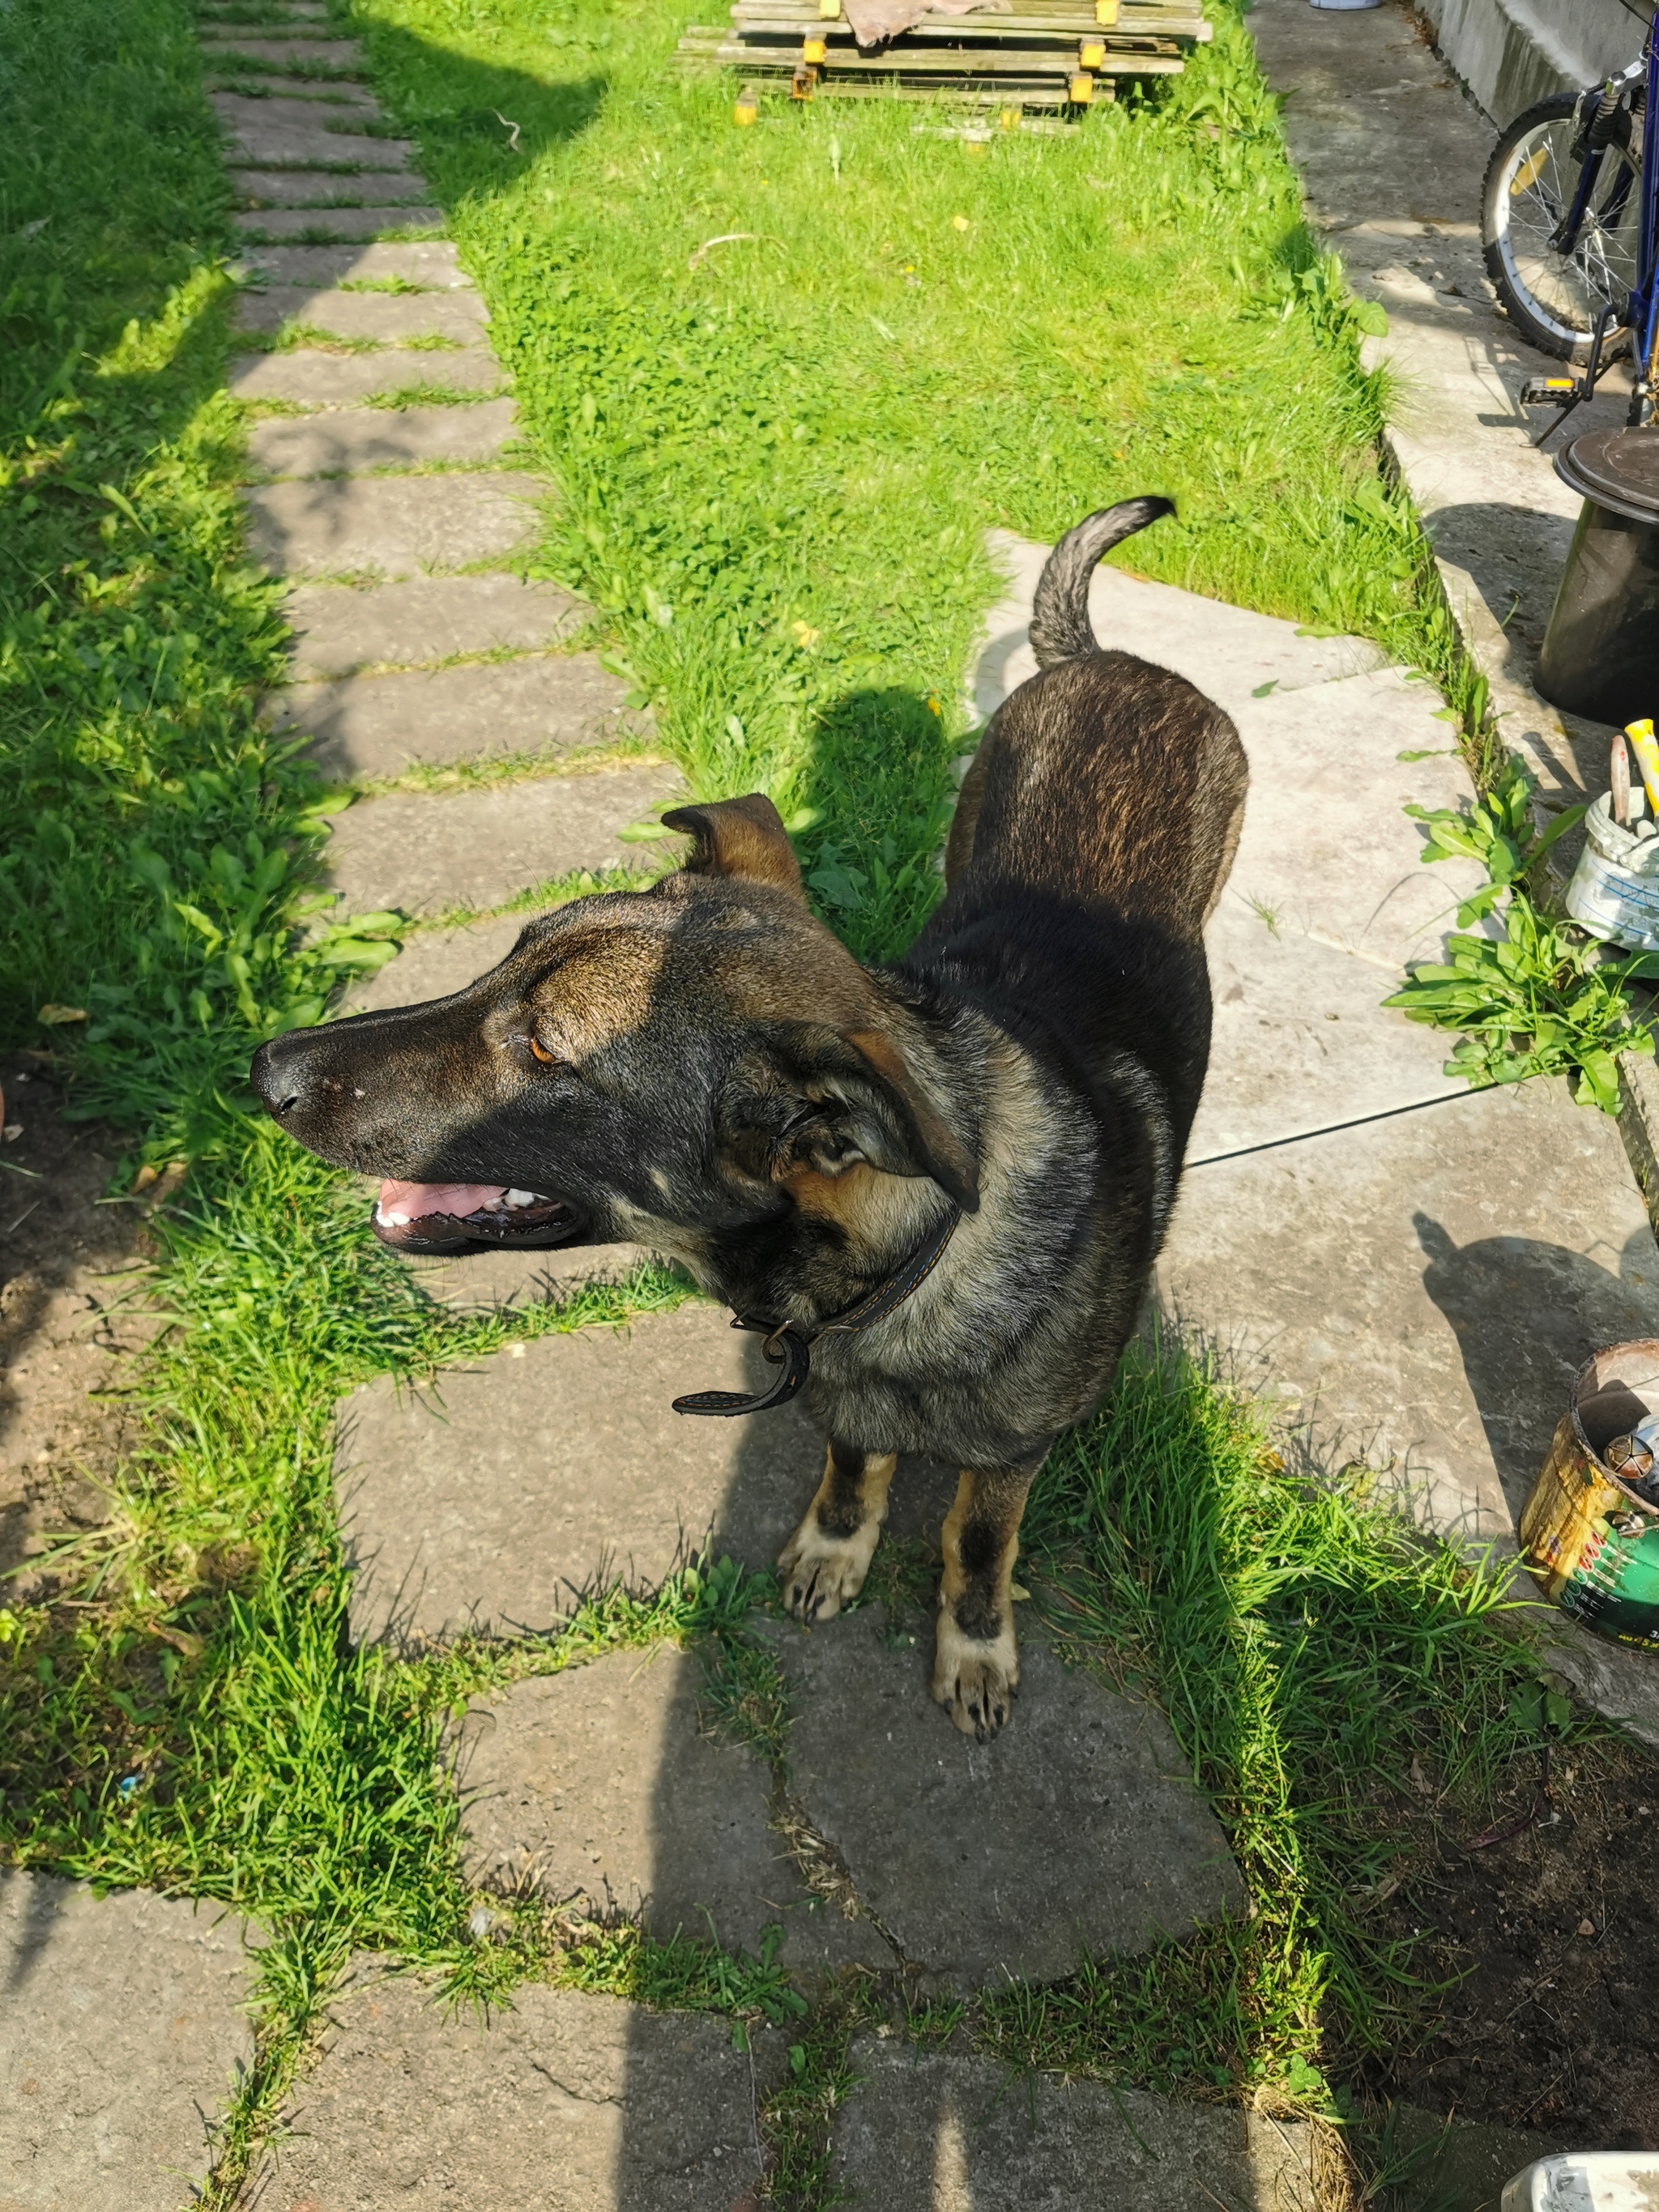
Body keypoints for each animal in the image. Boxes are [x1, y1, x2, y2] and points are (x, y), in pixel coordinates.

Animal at [253, 501, 1247, 1743]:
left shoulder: (1015, 1452)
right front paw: (836, 1542)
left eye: (545, 1049)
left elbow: (976, 1541)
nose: (264, 1070)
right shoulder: (840, 1388)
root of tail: (1112, 659)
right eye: (500, 960)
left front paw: (973, 1643)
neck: (912, 1261)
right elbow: (852, 1464)